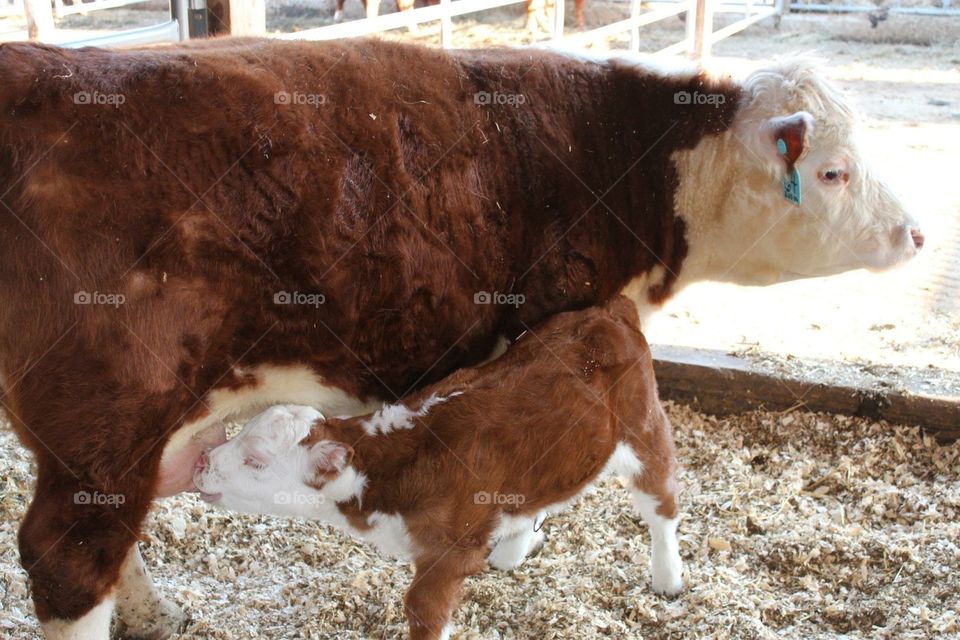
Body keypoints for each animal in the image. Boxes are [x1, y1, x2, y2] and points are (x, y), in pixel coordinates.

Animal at [0, 38, 921, 639]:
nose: (916, 233)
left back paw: (157, 613)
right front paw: (518, 539)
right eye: (833, 170)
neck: (619, 155)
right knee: (67, 561)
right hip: (106, 417)